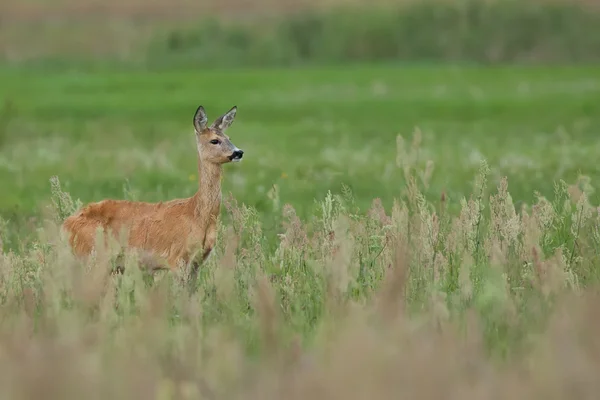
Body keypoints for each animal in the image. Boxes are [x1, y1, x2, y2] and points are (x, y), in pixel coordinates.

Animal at [61, 104, 244, 286]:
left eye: (229, 137)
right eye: (214, 140)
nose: (238, 152)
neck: (197, 214)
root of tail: (66, 225)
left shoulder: (197, 262)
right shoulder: (177, 258)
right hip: (92, 256)